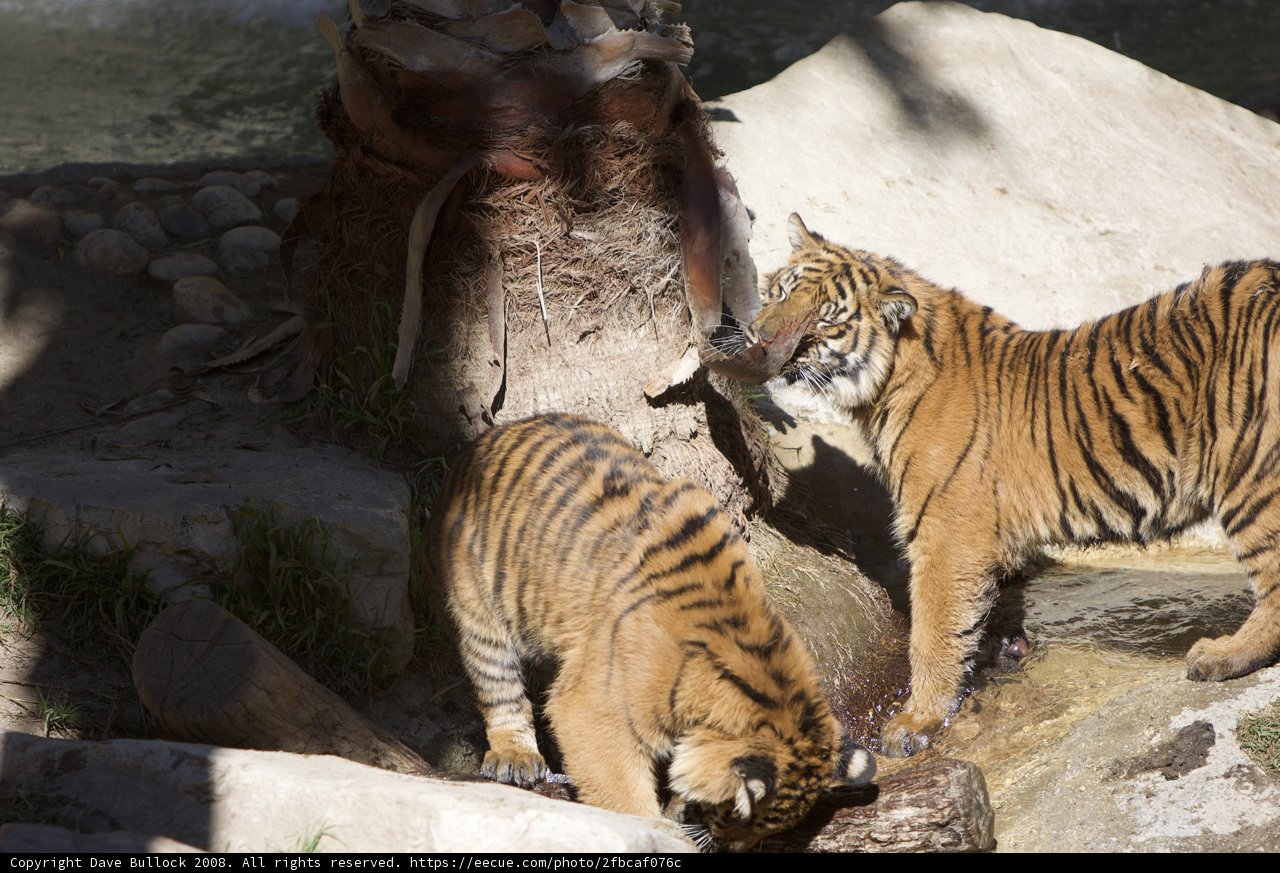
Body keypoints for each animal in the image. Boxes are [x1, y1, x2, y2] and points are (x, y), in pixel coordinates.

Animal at [426, 413, 875, 850]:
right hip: (479, 608)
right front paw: (654, 828)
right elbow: (620, 792)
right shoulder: (592, 709)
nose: (725, 846)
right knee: (498, 685)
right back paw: (515, 757)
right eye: (733, 815)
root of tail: (481, 441)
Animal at [736, 213, 1280, 758]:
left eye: (825, 319)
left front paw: (915, 722)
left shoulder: (946, 536)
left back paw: (1219, 656)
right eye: (780, 292)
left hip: (1253, 474)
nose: (758, 337)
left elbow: (931, 632)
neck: (889, 381)